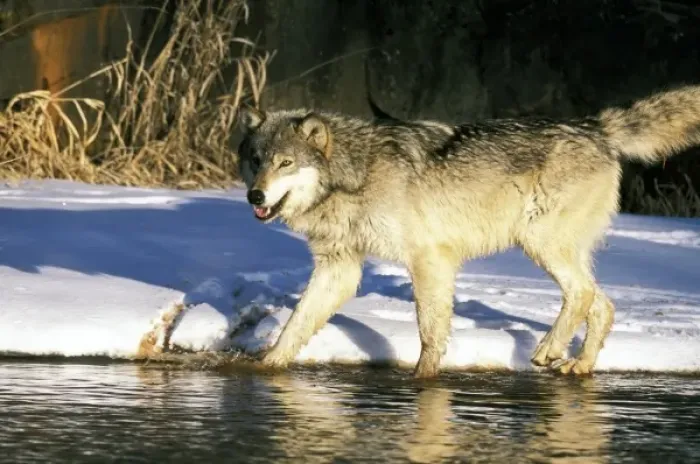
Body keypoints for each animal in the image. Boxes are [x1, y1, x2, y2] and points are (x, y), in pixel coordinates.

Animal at [235, 85, 700, 378]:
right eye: (256, 160)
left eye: (286, 163)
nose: (254, 195)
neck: (356, 175)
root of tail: (595, 126)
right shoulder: (340, 268)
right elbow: (296, 325)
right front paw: (266, 367)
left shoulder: (429, 260)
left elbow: (430, 332)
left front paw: (424, 381)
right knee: (604, 305)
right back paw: (579, 366)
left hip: (539, 242)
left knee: (583, 295)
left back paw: (549, 349)